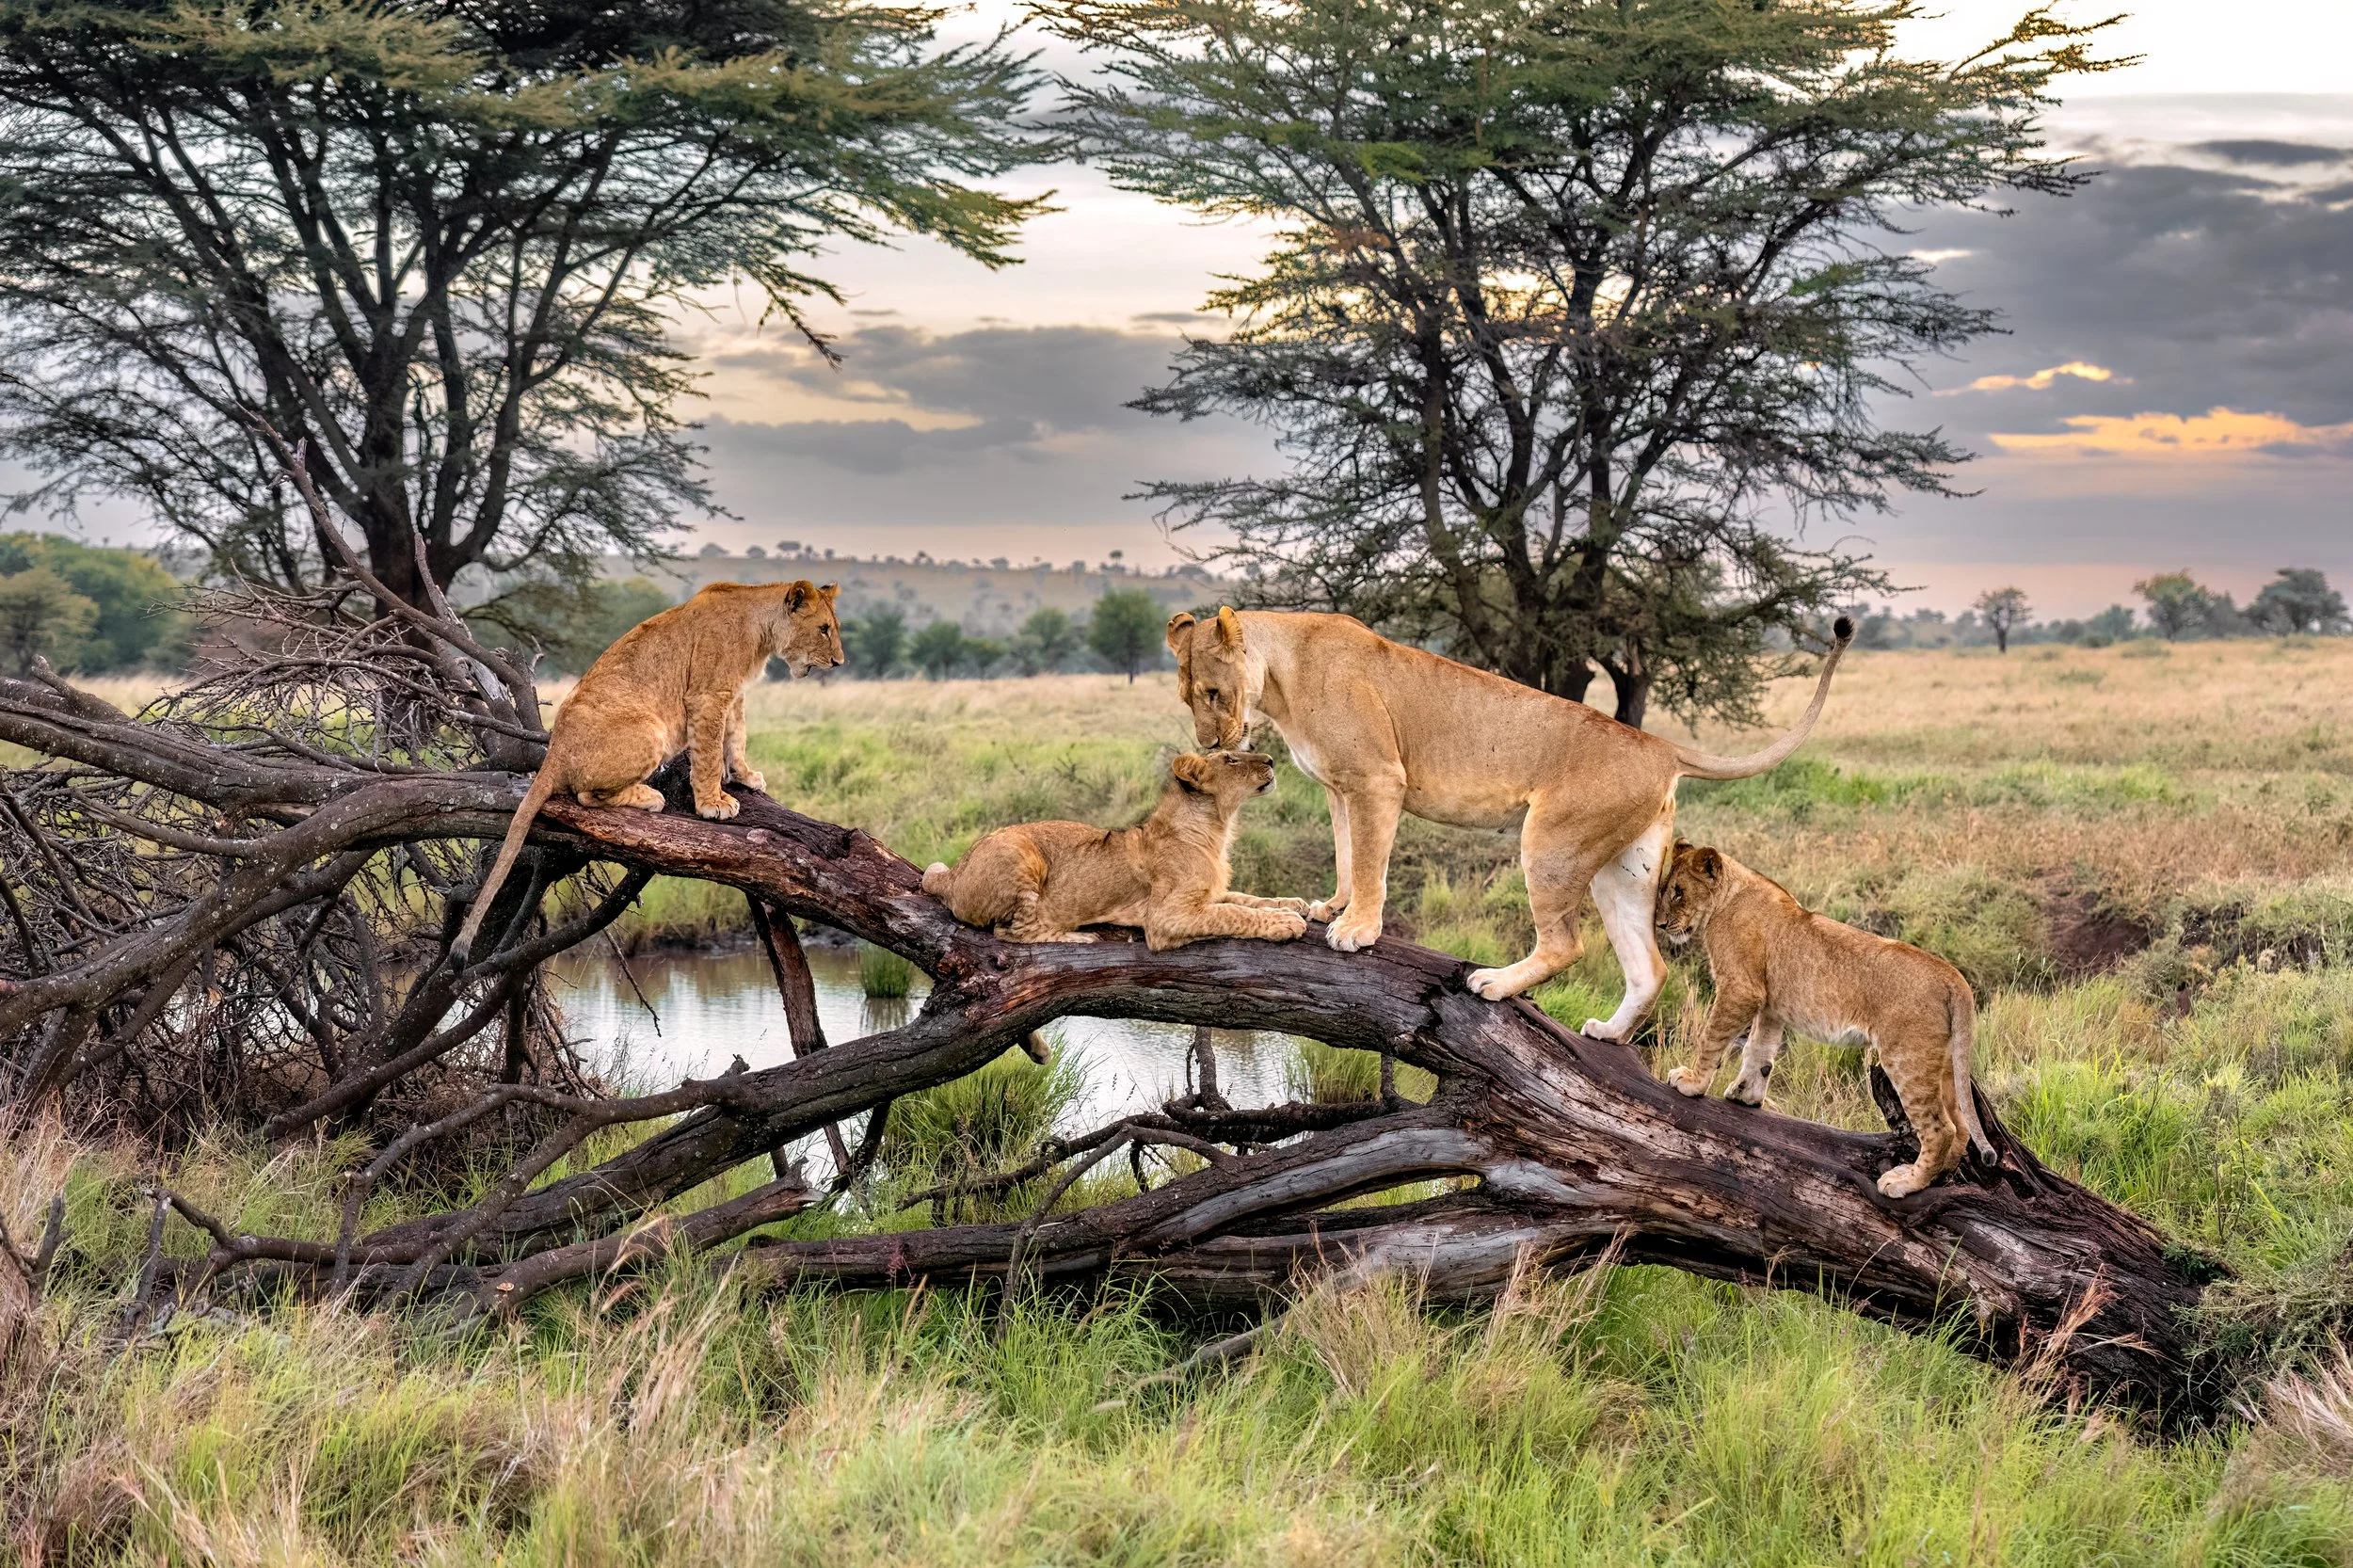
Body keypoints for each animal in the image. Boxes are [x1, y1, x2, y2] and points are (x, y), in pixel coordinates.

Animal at [450, 579, 843, 965]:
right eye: (824, 629)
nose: (839, 662)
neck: (760, 628)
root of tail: (554, 752)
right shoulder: (708, 695)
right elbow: (710, 752)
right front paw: (712, 803)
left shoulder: (734, 695)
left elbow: (737, 737)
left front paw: (745, 776)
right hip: (650, 727)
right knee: (586, 794)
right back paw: (650, 796)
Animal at [921, 750, 1309, 950]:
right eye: (1230, 759)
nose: (1271, 760)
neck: (1217, 829)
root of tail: (954, 873)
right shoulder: (1164, 918)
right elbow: (1231, 913)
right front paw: (1284, 923)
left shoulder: (1208, 894)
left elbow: (1244, 898)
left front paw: (1291, 904)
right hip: (1018, 851)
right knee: (1014, 933)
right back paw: (1079, 935)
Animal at [1163, 607, 1852, 1036]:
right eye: (1189, 697)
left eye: (1214, 694)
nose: (1212, 743)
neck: (1281, 677)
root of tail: (1658, 745)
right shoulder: (1340, 787)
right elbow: (1345, 854)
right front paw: (1331, 907)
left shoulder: (1378, 780)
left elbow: (1371, 862)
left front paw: (1357, 930)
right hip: (1623, 871)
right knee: (1649, 966)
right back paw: (1609, 1034)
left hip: (1550, 841)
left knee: (1566, 943)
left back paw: (1495, 984)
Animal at [1654, 841, 1993, 1198]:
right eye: (1663, 889)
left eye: (1678, 891)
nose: (1660, 925)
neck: (1728, 896)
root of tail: (1952, 975)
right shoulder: (1770, 1005)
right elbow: (1759, 1051)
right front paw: (1746, 1094)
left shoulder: (1741, 989)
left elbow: (1711, 1037)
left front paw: (1693, 1082)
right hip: (1941, 1063)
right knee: (1961, 1125)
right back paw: (1942, 1176)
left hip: (1907, 1059)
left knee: (1941, 1129)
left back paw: (1907, 1182)